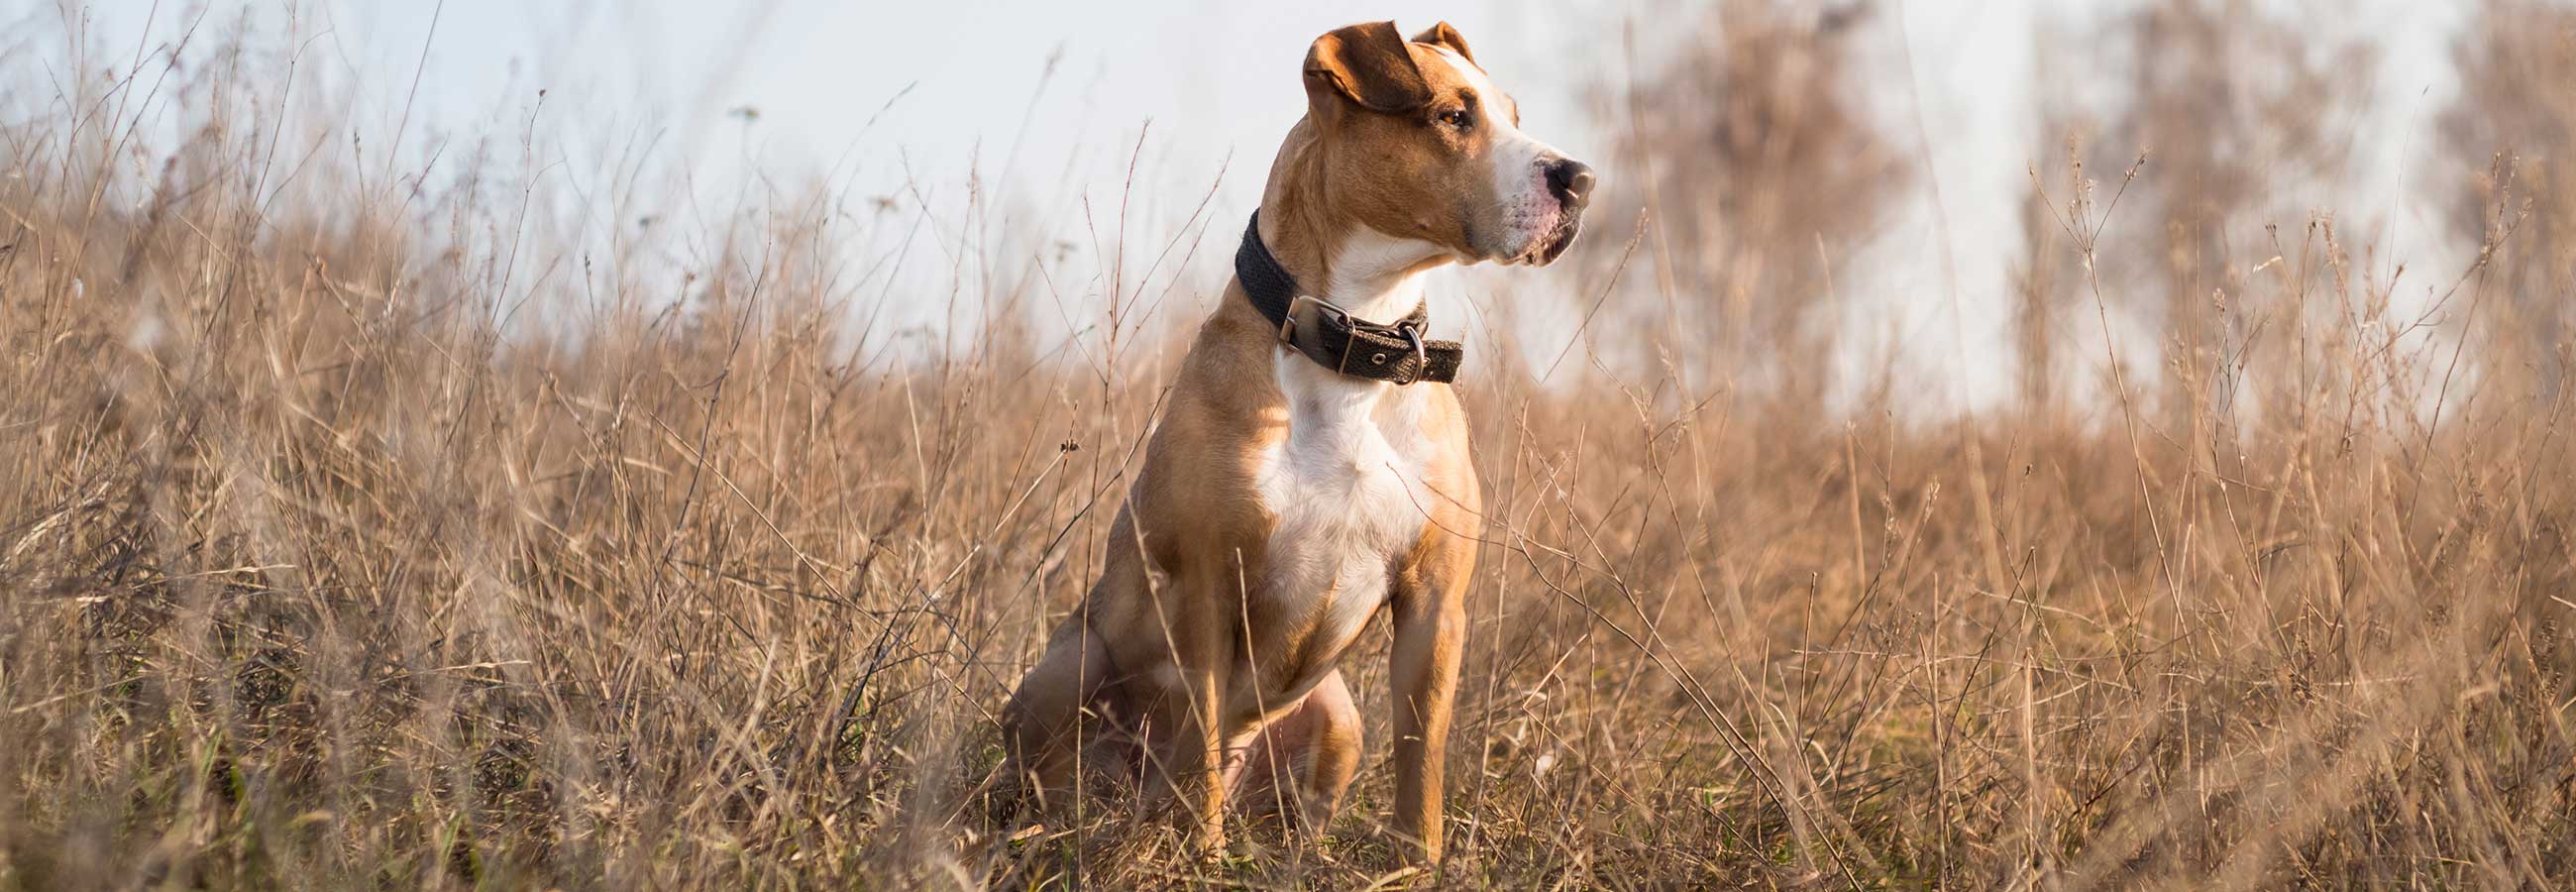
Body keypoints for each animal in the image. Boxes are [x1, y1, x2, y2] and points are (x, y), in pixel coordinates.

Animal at [999, 15, 1586, 865]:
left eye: (1513, 114)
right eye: (1452, 116)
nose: (1581, 178)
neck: (1352, 342)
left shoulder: (1435, 601)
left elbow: (1422, 758)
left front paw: (1416, 866)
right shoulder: (1208, 585)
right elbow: (1203, 747)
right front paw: (1201, 859)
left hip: (1337, 718)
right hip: (1069, 668)